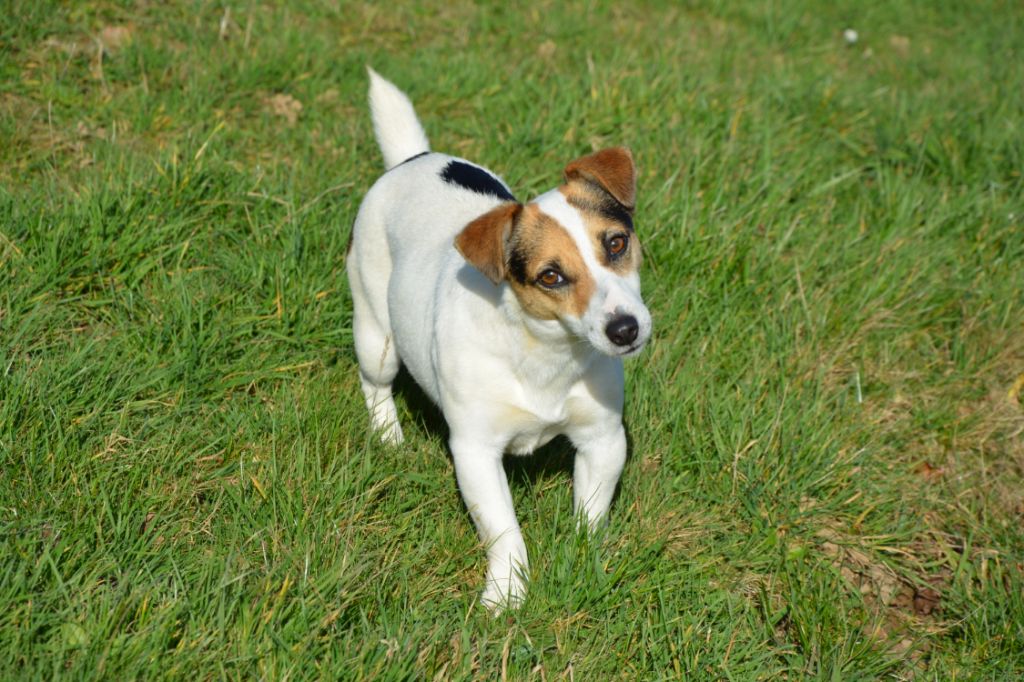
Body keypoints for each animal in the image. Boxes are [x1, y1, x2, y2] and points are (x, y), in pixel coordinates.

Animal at [346, 69, 647, 606]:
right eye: (551, 276)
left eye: (616, 243)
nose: (624, 329)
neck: (543, 350)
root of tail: (413, 158)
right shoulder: (475, 452)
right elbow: (505, 531)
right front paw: (506, 594)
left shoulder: (603, 439)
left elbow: (591, 515)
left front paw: (584, 564)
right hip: (374, 332)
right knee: (375, 382)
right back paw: (388, 437)